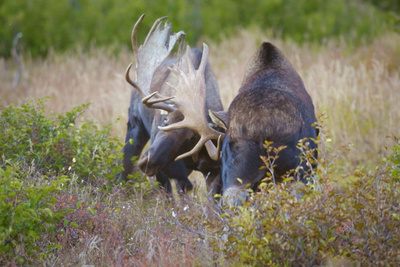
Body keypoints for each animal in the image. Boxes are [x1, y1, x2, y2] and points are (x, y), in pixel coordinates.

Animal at [119, 14, 225, 196]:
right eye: (166, 121)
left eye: (189, 137)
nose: (147, 161)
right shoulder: (170, 168)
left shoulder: (213, 169)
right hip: (135, 127)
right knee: (125, 166)